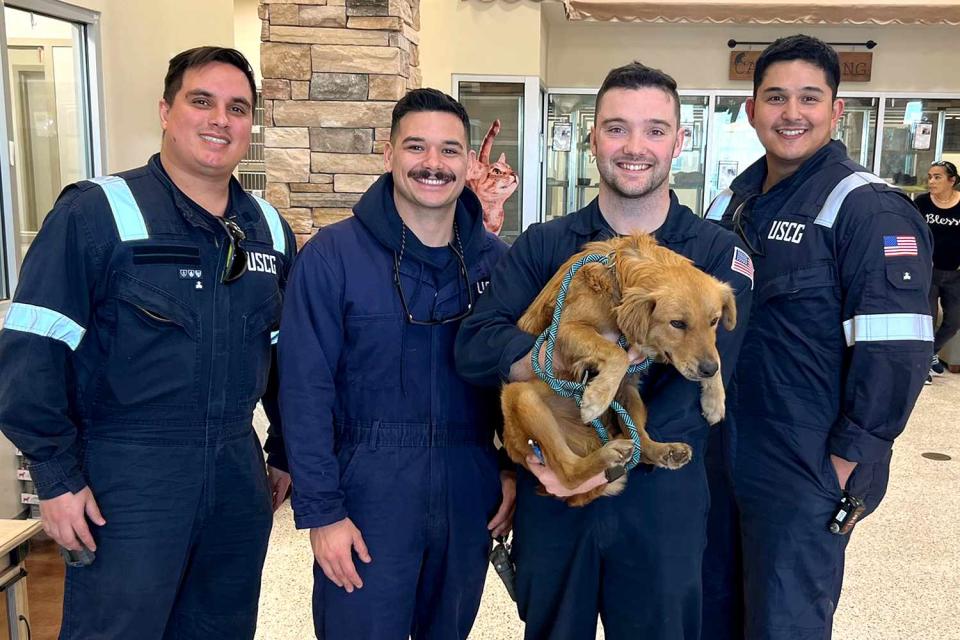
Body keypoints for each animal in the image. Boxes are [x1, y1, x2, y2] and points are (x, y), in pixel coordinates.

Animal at [502, 232, 736, 508]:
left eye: (714, 321)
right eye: (677, 324)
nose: (707, 371)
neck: (618, 280)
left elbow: (716, 352)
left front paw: (715, 400)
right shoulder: (564, 330)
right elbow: (618, 354)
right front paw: (596, 399)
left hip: (630, 395)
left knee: (641, 445)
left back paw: (664, 451)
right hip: (522, 396)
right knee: (568, 472)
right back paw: (608, 454)